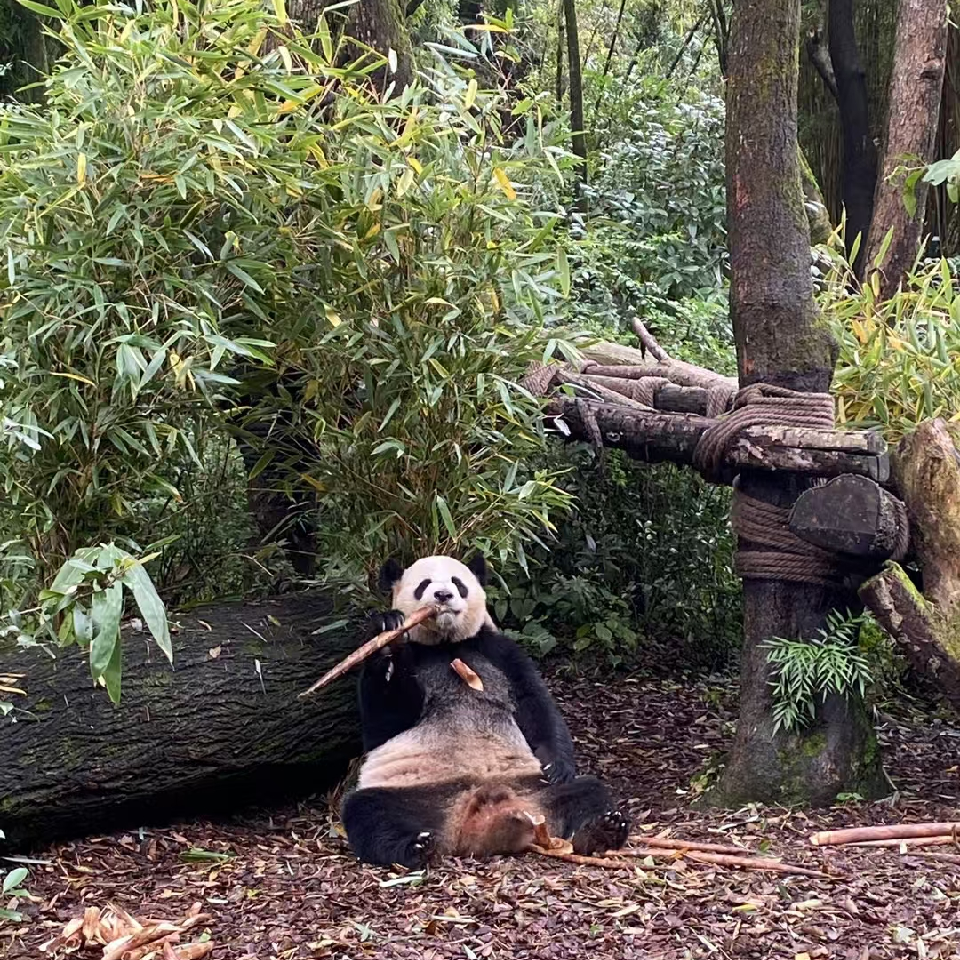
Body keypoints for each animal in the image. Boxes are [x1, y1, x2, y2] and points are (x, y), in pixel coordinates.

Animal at [340, 644, 632, 864]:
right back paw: (416, 848)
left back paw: (602, 831)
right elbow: (384, 721)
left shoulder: (506, 657)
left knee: (588, 791)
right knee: (368, 812)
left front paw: (557, 764)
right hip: (417, 798)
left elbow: (536, 705)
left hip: (534, 792)